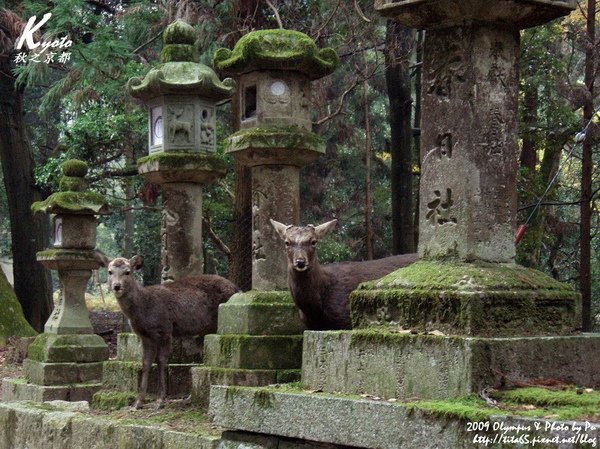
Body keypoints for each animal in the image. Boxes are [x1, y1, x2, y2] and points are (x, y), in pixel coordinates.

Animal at [95, 254, 238, 408]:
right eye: (110, 271)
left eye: (127, 272)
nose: (116, 286)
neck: (142, 309)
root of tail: (237, 289)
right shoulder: (145, 336)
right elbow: (145, 363)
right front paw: (138, 402)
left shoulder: (165, 329)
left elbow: (161, 361)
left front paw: (160, 400)